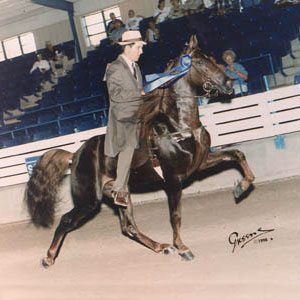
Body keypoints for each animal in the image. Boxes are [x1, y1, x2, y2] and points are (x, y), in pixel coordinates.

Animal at [26, 35, 255, 268]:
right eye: (200, 62)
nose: (229, 83)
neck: (178, 126)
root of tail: (75, 155)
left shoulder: (201, 163)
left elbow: (237, 154)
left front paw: (241, 187)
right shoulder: (173, 178)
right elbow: (175, 215)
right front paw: (182, 248)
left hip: (119, 192)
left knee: (128, 227)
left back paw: (160, 247)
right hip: (88, 199)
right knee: (67, 220)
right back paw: (48, 257)